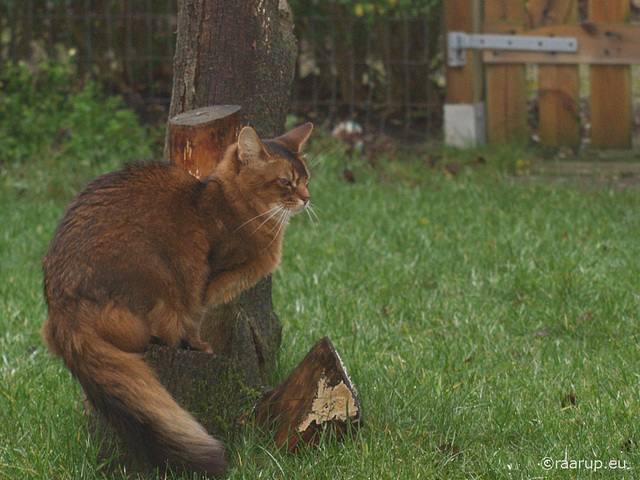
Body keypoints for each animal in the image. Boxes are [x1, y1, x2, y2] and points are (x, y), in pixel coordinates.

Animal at [41, 121, 314, 476]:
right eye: (285, 182)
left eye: (306, 178)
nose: (307, 199)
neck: (235, 206)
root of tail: (62, 312)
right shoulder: (205, 283)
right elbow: (195, 320)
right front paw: (199, 346)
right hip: (164, 274)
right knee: (153, 332)